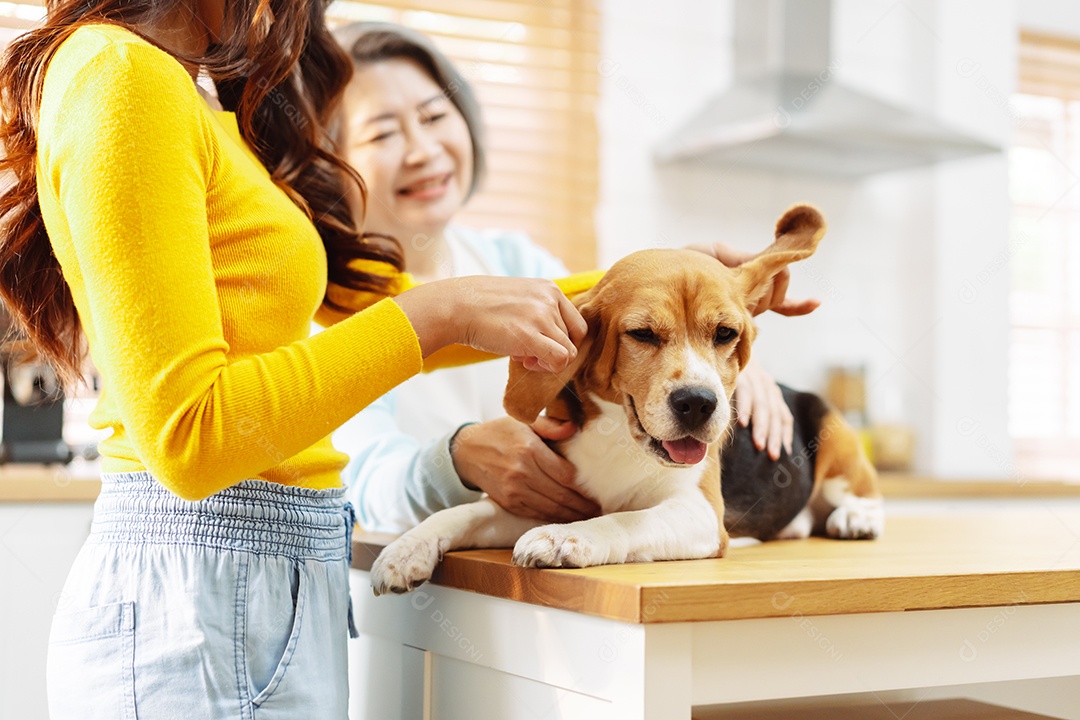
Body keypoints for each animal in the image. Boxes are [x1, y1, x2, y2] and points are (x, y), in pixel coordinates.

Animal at [369, 204, 876, 595]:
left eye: (725, 333)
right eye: (642, 334)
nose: (698, 403)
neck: (620, 439)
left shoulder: (700, 513)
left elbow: (625, 520)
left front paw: (563, 541)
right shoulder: (546, 498)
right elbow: (464, 511)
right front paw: (404, 550)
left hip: (834, 434)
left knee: (862, 488)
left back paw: (856, 518)